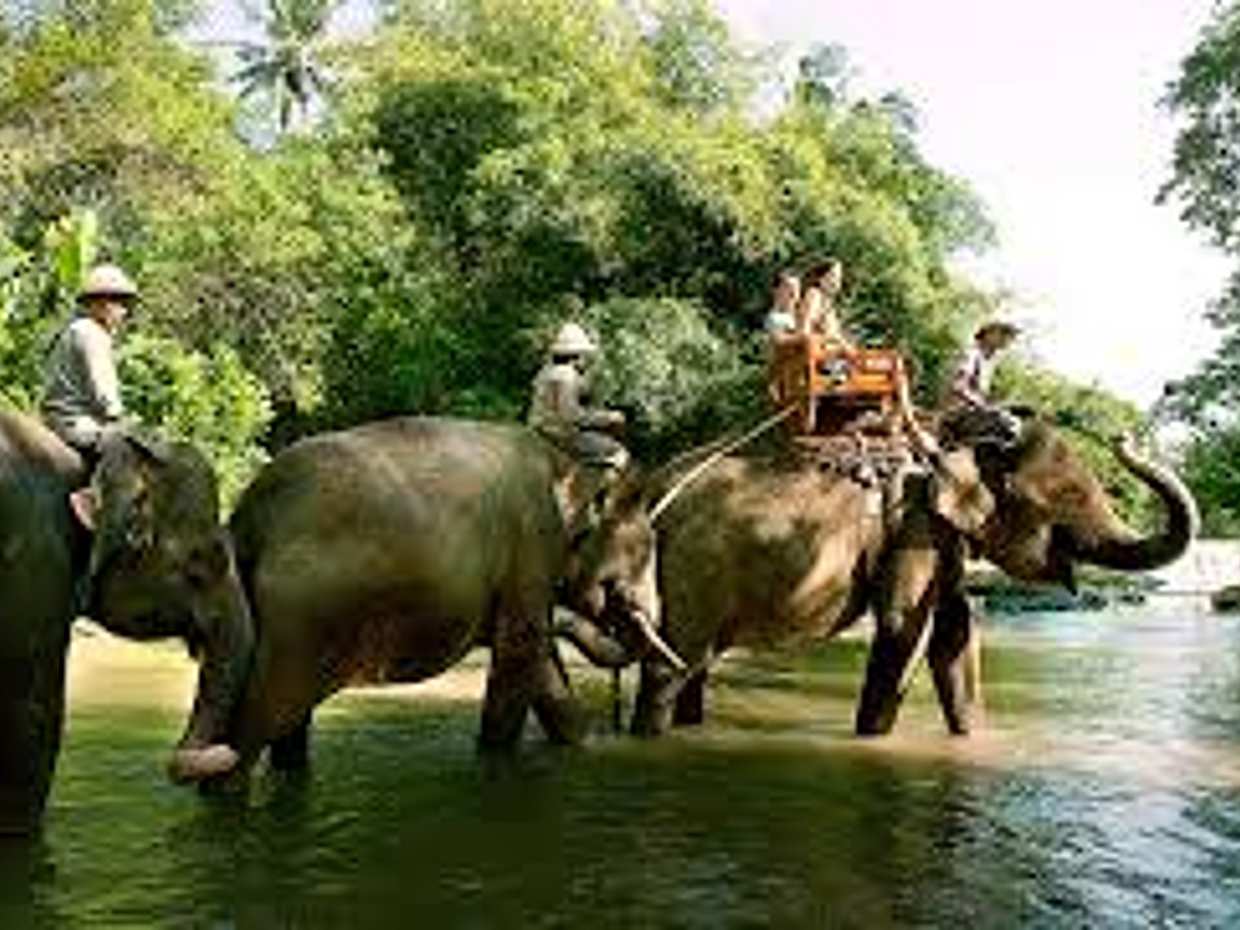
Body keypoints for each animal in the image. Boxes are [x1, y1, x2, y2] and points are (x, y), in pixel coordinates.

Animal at [184, 416, 669, 785]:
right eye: (647, 550)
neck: (561, 453)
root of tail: (248, 518)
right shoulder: (533, 543)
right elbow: (523, 650)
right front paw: (496, 764)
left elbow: (542, 664)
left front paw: (584, 747)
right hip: (298, 622)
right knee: (254, 727)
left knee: (285, 726)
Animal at [557, 419, 1198, 738]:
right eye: (1064, 504)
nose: (1124, 437)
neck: (955, 450)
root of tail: (653, 492)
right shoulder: (915, 528)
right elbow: (901, 629)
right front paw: (873, 743)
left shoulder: (941, 538)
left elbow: (955, 639)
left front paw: (973, 744)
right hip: (691, 568)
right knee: (671, 665)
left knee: (694, 664)